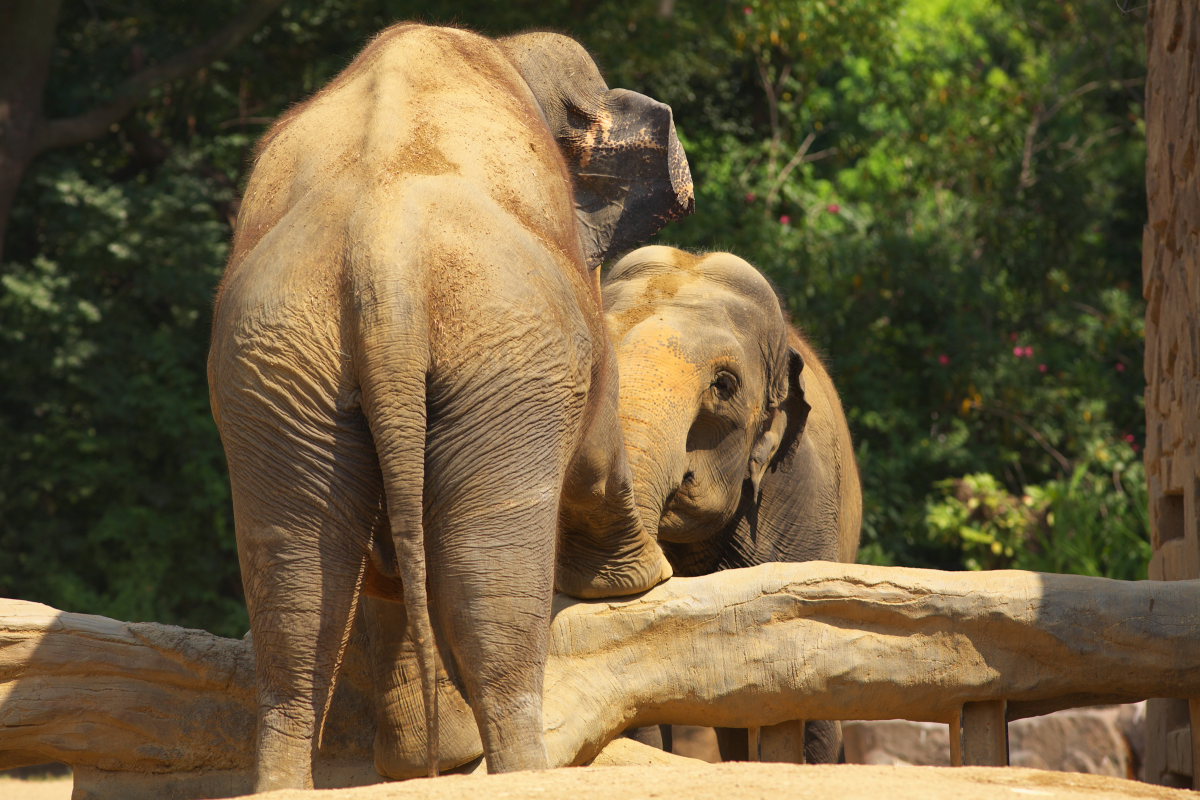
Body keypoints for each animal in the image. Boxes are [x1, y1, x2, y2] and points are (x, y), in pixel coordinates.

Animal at [208, 25, 696, 796]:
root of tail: (382, 260)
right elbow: (594, 439)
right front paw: (646, 580)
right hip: (505, 352)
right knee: (488, 574)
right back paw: (520, 768)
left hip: (275, 367)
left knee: (297, 579)